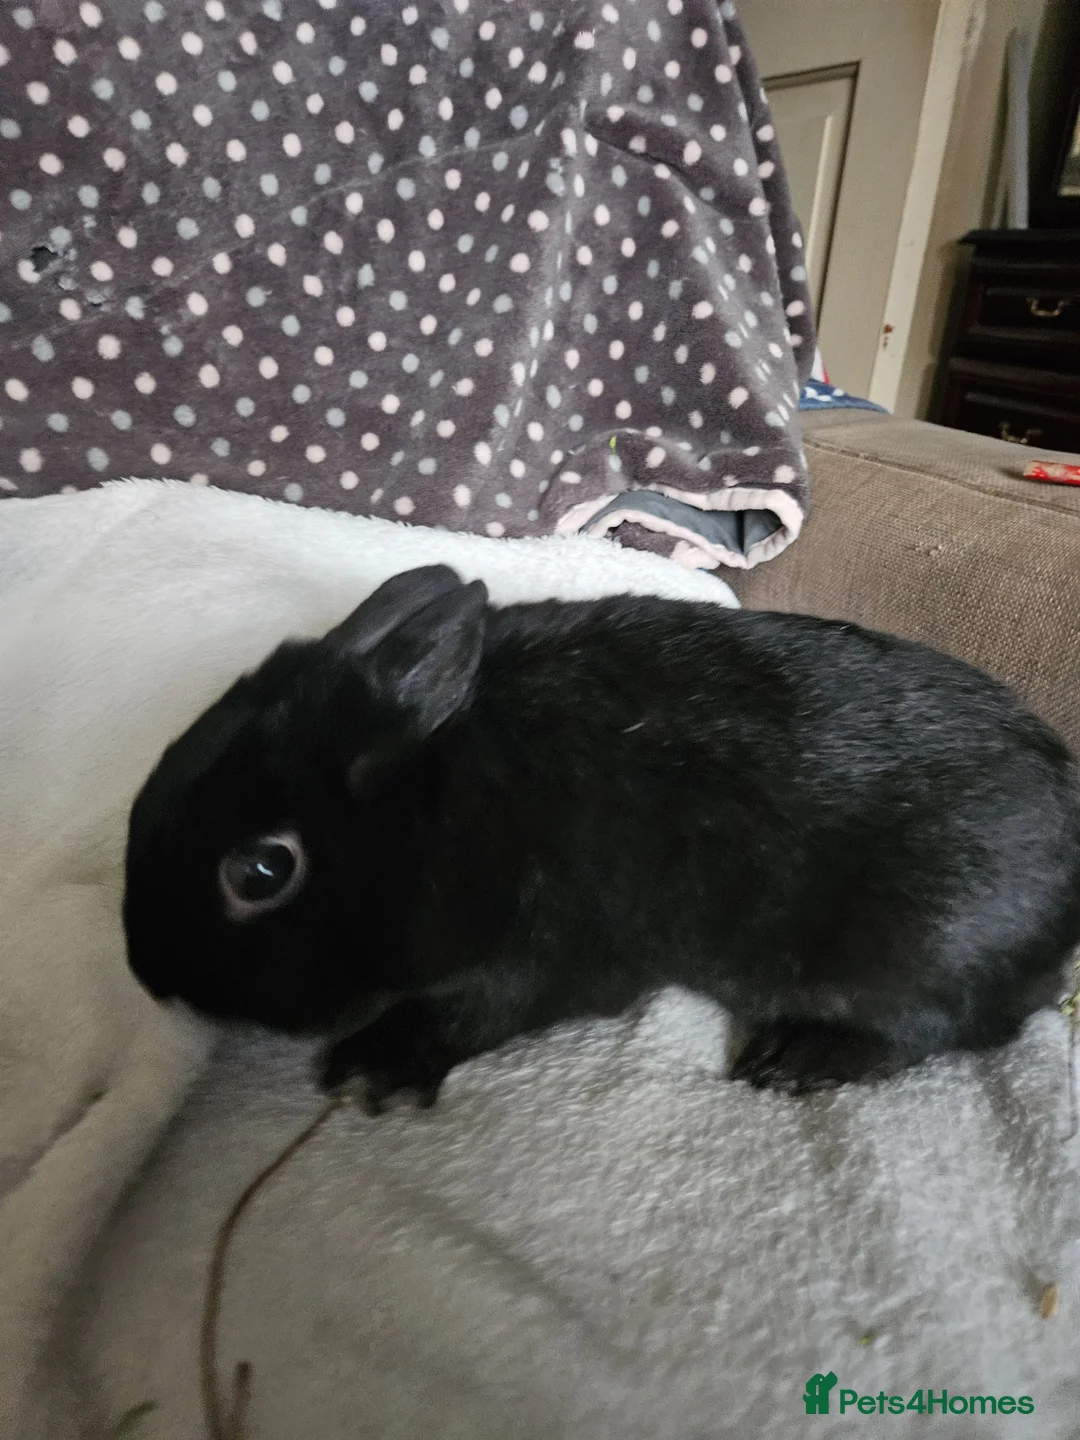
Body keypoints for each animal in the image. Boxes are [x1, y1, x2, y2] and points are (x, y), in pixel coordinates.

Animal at [123, 563, 1080, 1111]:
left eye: (261, 871)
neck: (435, 805)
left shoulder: (536, 951)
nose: (146, 974)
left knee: (946, 1026)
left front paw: (370, 1070)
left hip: (917, 945)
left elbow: (468, 1010)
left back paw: (798, 1057)